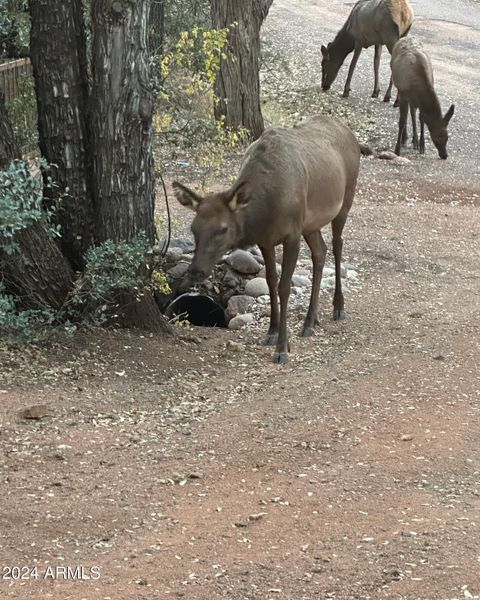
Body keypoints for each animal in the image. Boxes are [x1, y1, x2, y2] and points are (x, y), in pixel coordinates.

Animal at [172, 115, 360, 364]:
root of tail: (351, 134)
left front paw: (282, 348)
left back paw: (338, 307)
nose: (195, 271)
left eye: (223, 229)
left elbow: (284, 287)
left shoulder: (292, 234)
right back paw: (310, 321)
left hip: (345, 200)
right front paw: (271, 332)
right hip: (311, 224)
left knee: (337, 245)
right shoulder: (266, 240)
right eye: (194, 228)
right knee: (320, 252)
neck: (264, 213)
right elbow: (270, 281)